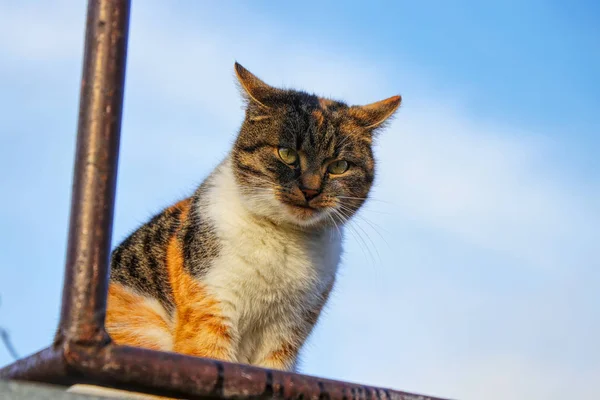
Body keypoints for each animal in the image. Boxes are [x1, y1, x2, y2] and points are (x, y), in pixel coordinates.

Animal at [70, 62, 400, 396]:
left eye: (338, 166)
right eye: (287, 154)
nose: (310, 190)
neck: (283, 240)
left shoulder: (285, 335)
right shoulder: (211, 311)